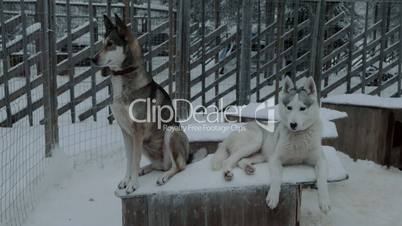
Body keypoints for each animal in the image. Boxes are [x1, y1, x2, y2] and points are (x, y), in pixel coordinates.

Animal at [92, 14, 190, 193]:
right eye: (102, 44)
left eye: (110, 44)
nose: (92, 59)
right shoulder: (125, 131)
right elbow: (129, 159)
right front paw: (126, 180)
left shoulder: (137, 130)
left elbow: (135, 159)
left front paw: (133, 184)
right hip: (146, 143)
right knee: (161, 165)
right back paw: (145, 169)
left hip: (171, 132)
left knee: (178, 166)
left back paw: (163, 177)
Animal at [210, 77, 330, 213]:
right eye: (289, 107)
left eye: (302, 108)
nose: (293, 124)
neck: (298, 136)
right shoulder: (275, 159)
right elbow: (277, 178)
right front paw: (273, 197)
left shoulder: (321, 160)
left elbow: (322, 179)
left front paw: (324, 201)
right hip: (255, 141)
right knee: (229, 160)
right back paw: (227, 173)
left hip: (261, 155)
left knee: (241, 161)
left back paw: (248, 168)